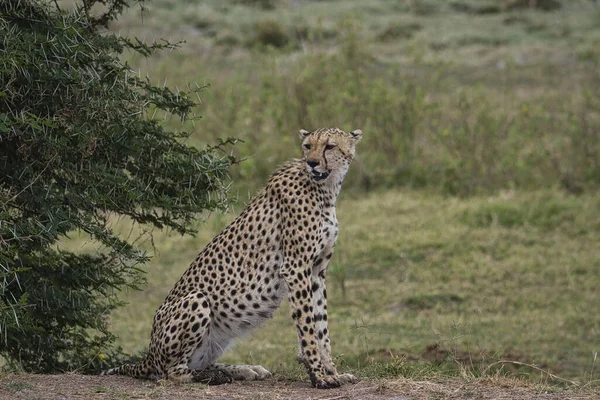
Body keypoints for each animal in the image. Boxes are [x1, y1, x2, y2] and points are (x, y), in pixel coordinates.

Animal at [103, 127, 364, 388]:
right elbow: (308, 327)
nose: (311, 163)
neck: (325, 189)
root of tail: (148, 355)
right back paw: (215, 376)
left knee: (196, 363)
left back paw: (244, 370)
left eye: (330, 146)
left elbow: (321, 326)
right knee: (174, 372)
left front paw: (331, 371)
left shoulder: (316, 271)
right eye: (308, 146)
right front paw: (319, 375)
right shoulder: (296, 268)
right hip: (197, 300)